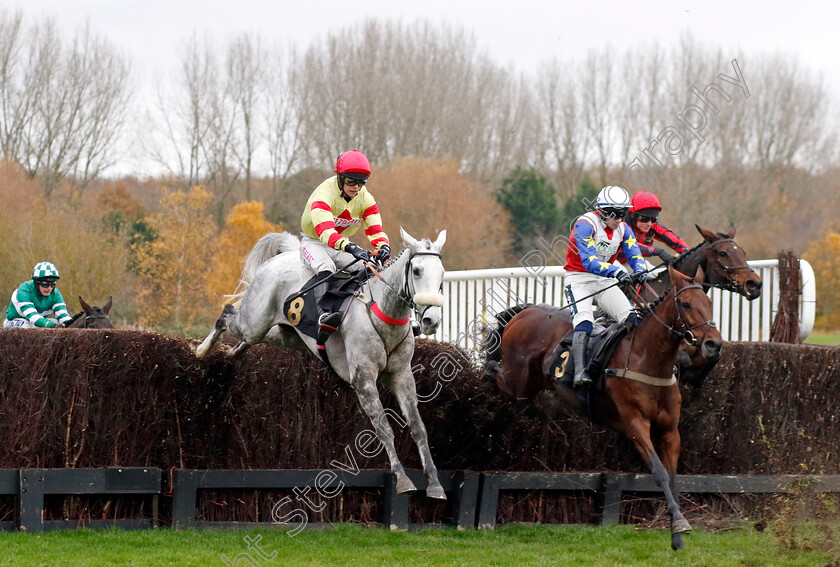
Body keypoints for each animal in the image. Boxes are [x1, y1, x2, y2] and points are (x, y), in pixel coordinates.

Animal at [194, 229, 450, 500]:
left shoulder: (401, 376)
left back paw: (231, 352)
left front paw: (434, 483)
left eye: (442, 273)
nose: (431, 320)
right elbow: (383, 428)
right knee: (227, 315)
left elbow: (418, 427)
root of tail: (284, 255)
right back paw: (201, 350)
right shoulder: (363, 379)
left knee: (255, 337)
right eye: (417, 271)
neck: (382, 311)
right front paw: (402, 479)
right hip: (254, 322)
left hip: (288, 335)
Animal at [482, 266, 724, 552]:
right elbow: (659, 472)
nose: (714, 344)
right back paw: (485, 368)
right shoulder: (635, 424)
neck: (646, 359)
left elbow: (674, 478)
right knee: (497, 370)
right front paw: (679, 524)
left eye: (709, 302)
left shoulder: (670, 430)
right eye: (685, 304)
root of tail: (526, 311)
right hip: (520, 383)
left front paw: (677, 531)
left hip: (532, 384)